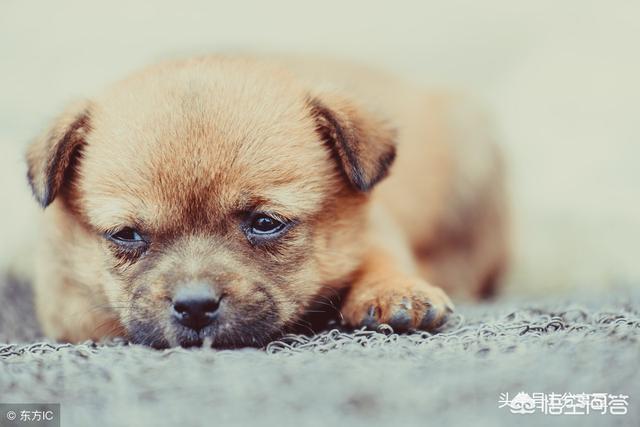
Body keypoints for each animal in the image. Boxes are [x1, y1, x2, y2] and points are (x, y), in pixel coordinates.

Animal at [25, 55, 508, 350]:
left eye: (265, 223)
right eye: (126, 234)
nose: (195, 306)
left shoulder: (375, 224)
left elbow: (381, 254)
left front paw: (394, 290)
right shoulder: (66, 303)